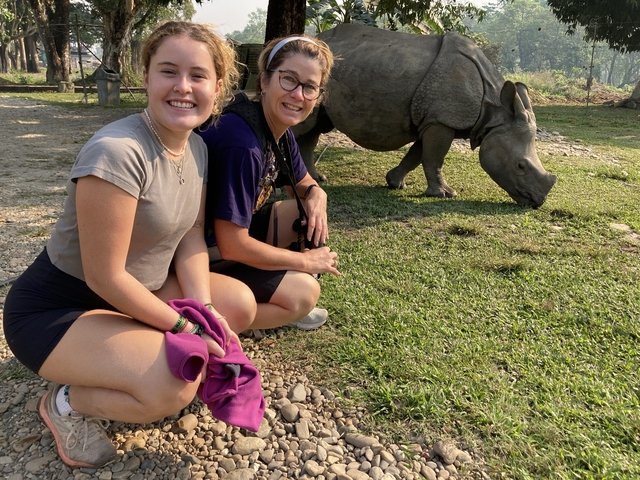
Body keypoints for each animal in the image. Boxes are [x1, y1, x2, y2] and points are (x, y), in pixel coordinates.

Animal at [293, 23, 557, 208]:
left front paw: (395, 183)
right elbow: (433, 158)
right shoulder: (442, 119)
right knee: (303, 127)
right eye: (520, 165)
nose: (537, 202)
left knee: (315, 128)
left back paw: (317, 179)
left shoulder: (433, 119)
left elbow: (417, 155)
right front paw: (444, 194)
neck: (494, 113)